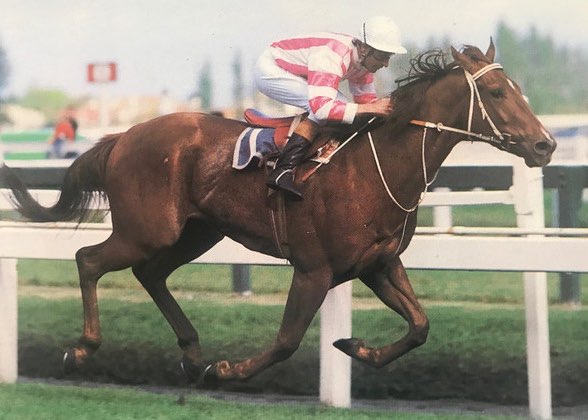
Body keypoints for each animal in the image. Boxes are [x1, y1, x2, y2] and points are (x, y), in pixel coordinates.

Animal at [1, 41, 556, 383]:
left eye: (520, 89)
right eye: (497, 92)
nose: (545, 145)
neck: (373, 168)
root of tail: (123, 136)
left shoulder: (377, 263)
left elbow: (420, 325)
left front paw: (358, 348)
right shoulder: (314, 269)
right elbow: (288, 339)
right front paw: (228, 371)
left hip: (195, 232)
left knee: (149, 273)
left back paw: (191, 352)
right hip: (147, 229)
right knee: (90, 260)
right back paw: (83, 349)